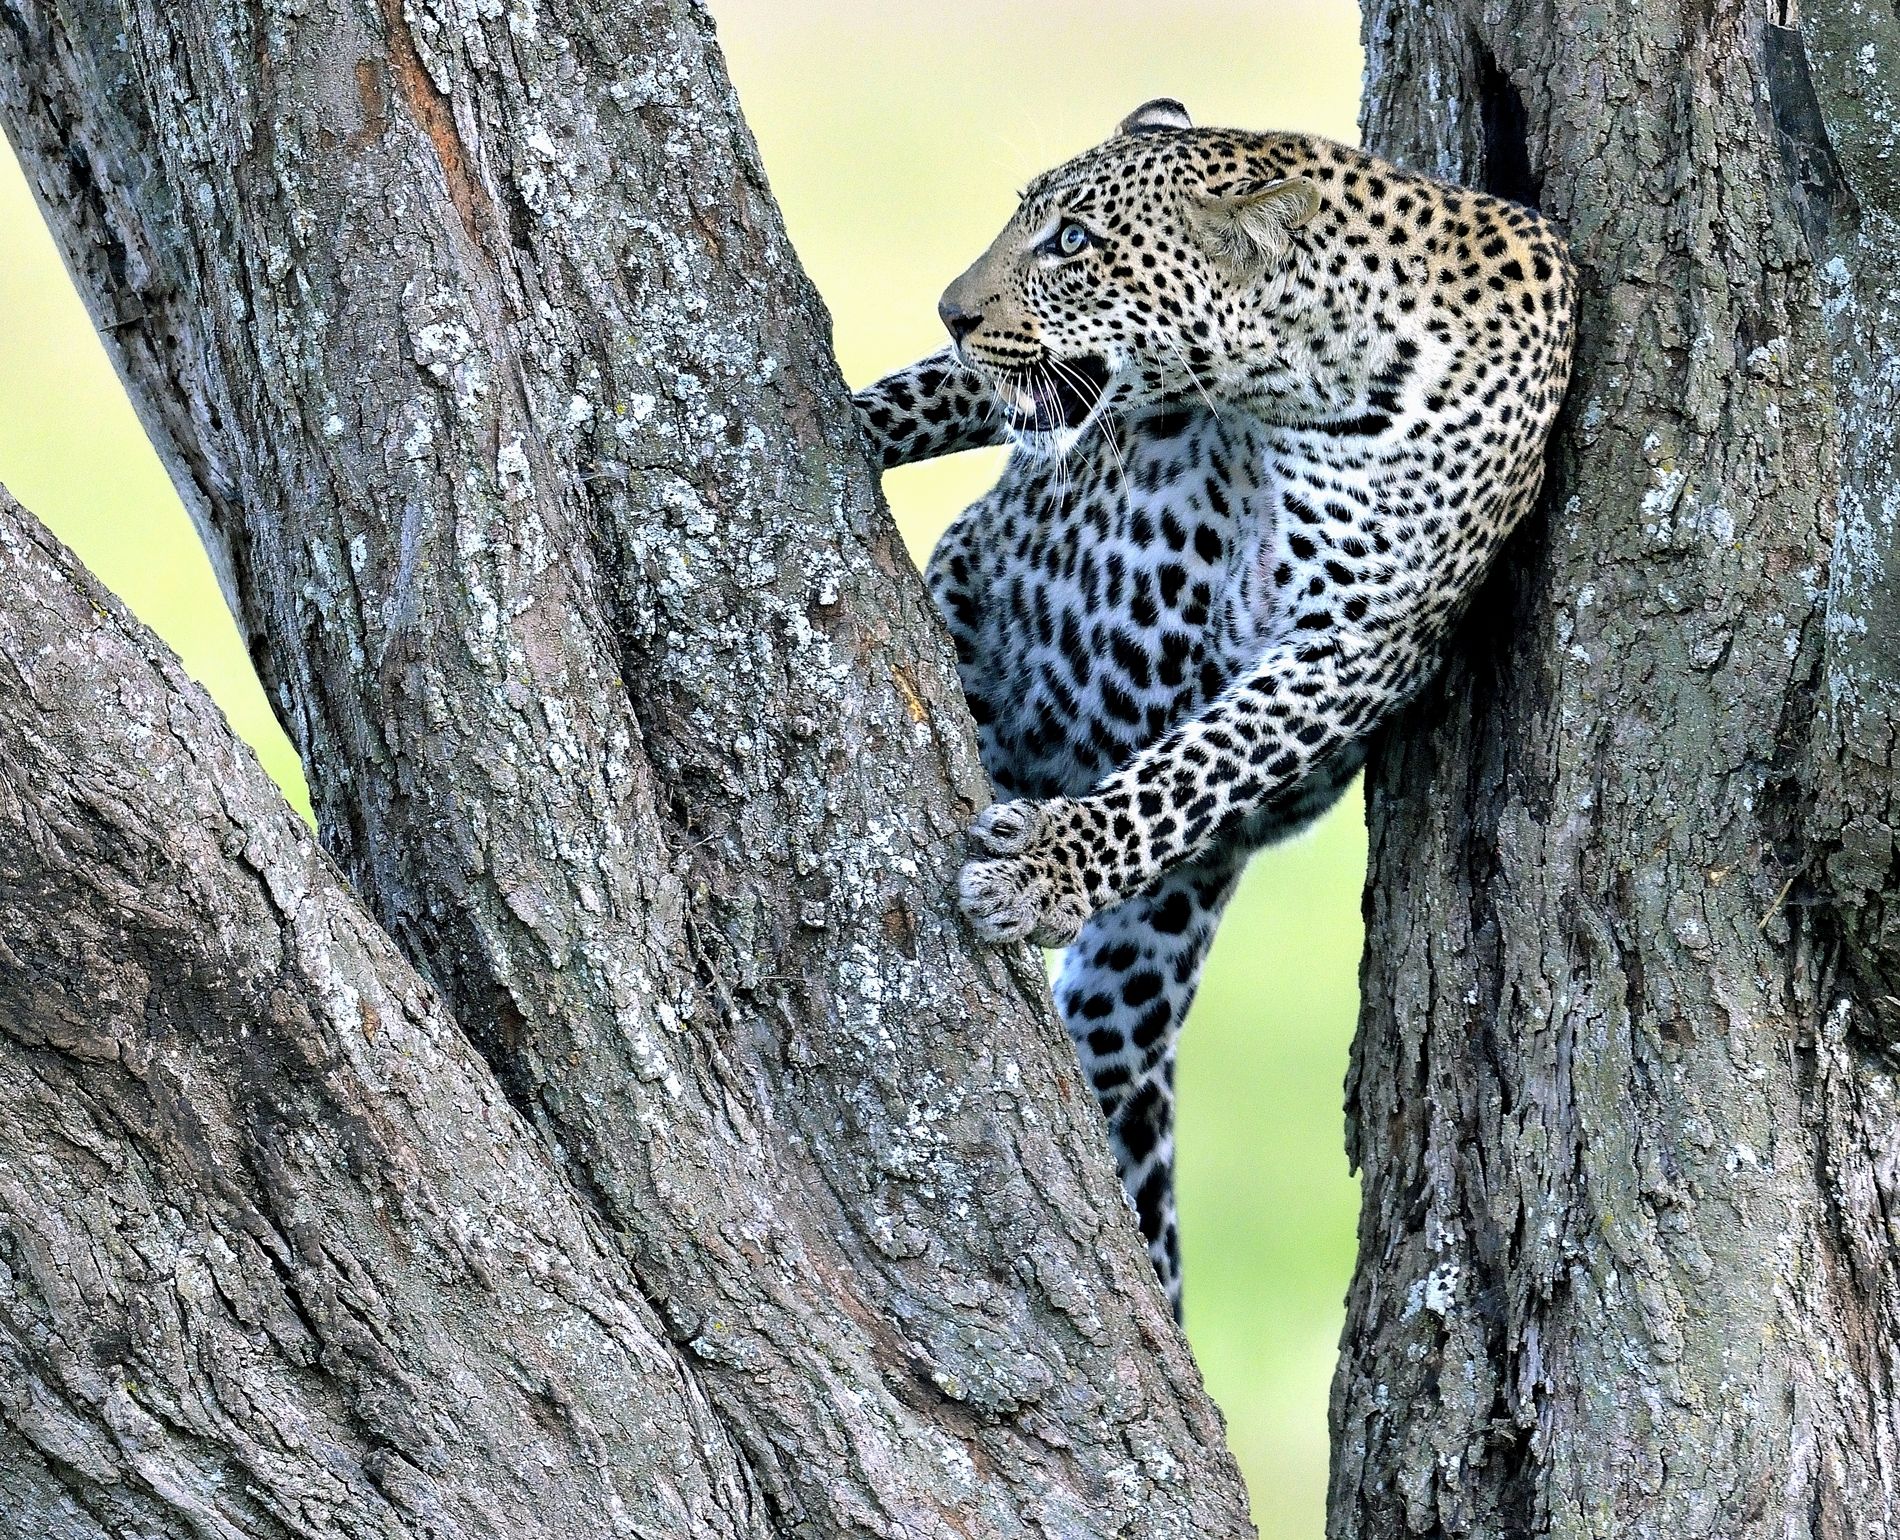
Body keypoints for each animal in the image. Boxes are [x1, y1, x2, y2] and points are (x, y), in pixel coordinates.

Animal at [854, 98, 1577, 1315]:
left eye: (1074, 244)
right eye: (1027, 220)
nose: (951, 308)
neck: (1293, 395)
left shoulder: (1348, 649)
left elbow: (1190, 772)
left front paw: (1044, 867)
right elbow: (936, 397)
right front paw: (836, 417)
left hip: (1136, 981)